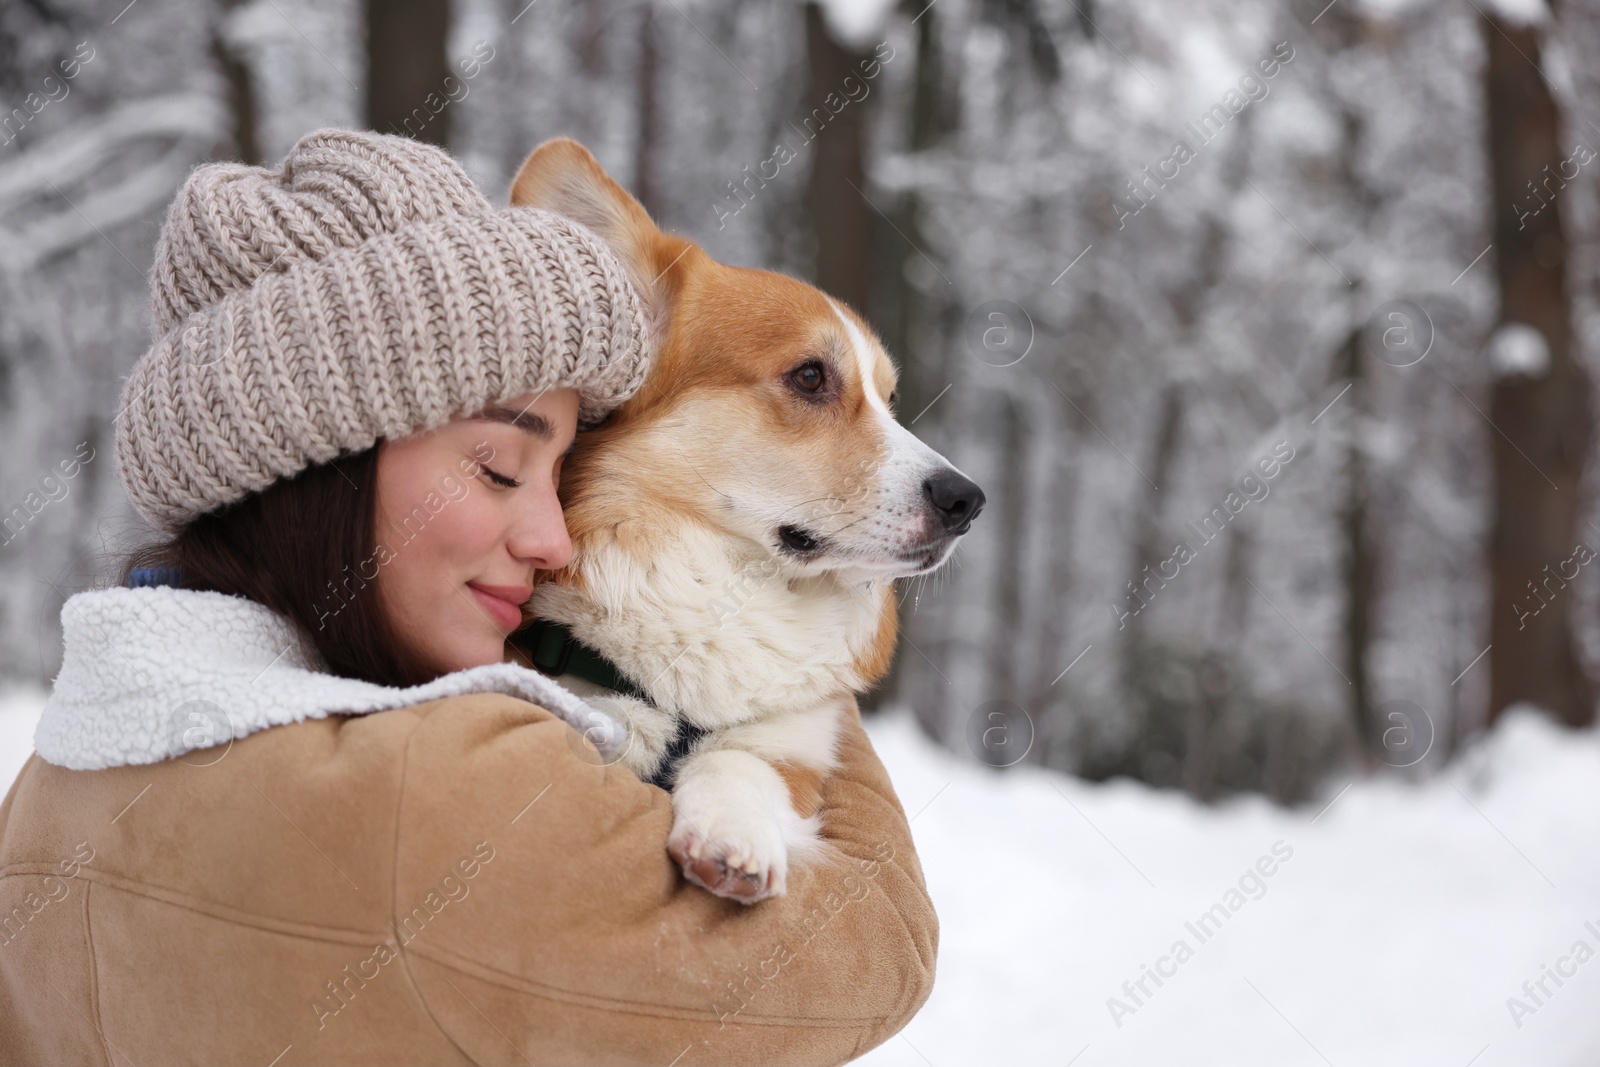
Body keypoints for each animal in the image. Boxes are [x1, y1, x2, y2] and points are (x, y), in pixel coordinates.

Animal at [512, 137, 979, 908]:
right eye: (811, 377)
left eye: (888, 399)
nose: (967, 500)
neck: (730, 583)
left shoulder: (790, 745)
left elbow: (742, 764)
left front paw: (732, 833)